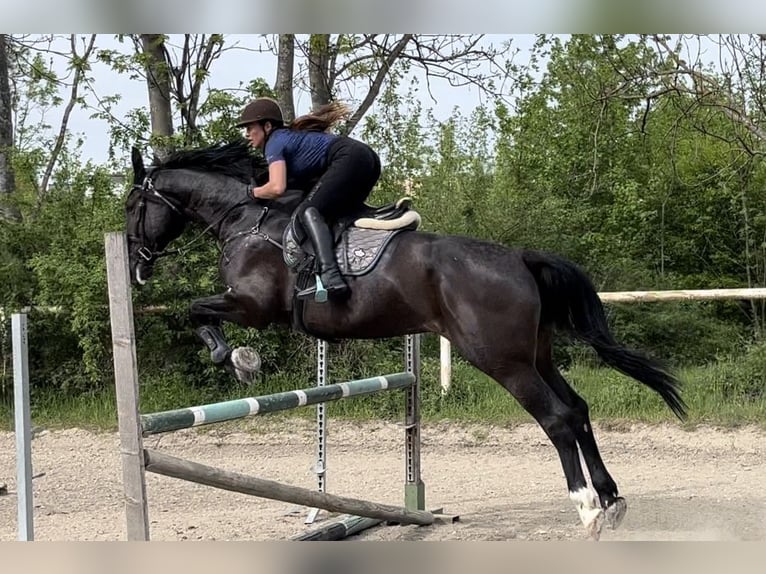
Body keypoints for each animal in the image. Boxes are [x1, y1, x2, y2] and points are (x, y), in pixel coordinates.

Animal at [127, 140, 688, 540]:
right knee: (577, 408)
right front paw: (237, 358)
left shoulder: (254, 306)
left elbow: (195, 310)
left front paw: (237, 358)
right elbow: (196, 311)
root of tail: (519, 257)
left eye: (134, 204)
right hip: (536, 354)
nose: (135, 266)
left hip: (501, 360)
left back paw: (587, 509)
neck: (247, 219)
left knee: (556, 418)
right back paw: (611, 500)